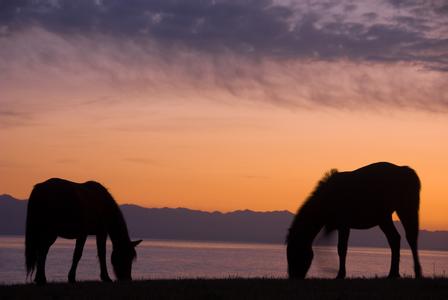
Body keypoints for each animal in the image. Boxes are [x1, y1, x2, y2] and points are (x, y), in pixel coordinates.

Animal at [288, 163, 422, 280]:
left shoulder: (344, 225)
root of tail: (404, 169)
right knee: (395, 239)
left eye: (295, 252)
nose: (293, 277)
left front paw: (340, 274)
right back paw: (393, 274)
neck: (327, 199)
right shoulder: (335, 227)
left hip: (404, 209)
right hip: (384, 218)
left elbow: (341, 249)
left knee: (410, 238)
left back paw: (417, 272)